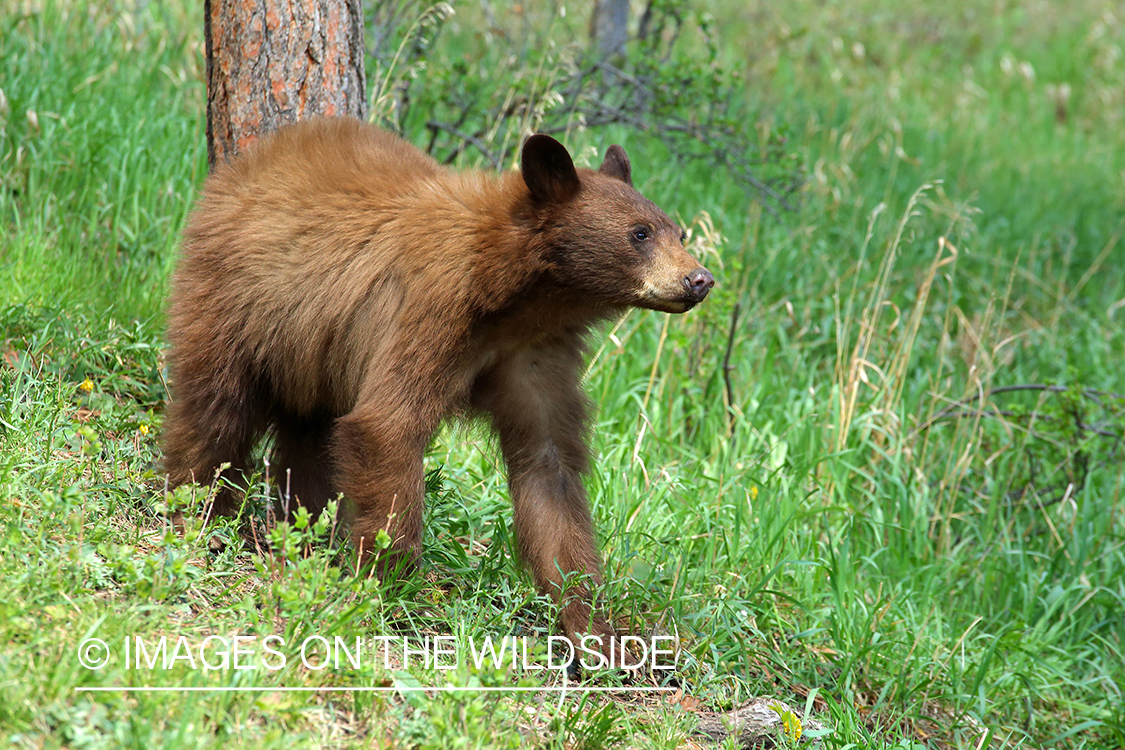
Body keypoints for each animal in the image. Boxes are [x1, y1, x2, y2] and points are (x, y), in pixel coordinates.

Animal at [164, 117, 711, 661]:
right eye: (639, 233)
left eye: (678, 231)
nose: (699, 279)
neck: (519, 298)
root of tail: (247, 163)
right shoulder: (432, 310)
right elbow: (388, 424)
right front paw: (385, 585)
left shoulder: (536, 357)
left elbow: (548, 465)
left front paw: (597, 635)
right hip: (236, 299)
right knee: (215, 408)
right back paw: (201, 512)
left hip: (312, 352)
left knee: (309, 438)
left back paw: (305, 530)